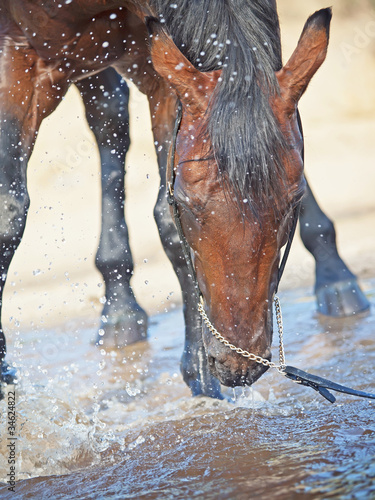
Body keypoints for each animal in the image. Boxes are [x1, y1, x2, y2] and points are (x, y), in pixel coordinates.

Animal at [0, 0, 370, 398]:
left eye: (294, 200)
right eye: (187, 202)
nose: (240, 363)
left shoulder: (162, 75)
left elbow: (166, 221)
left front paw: (200, 373)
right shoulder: (16, 57)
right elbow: (9, 213)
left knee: (110, 115)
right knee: (108, 117)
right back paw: (120, 309)